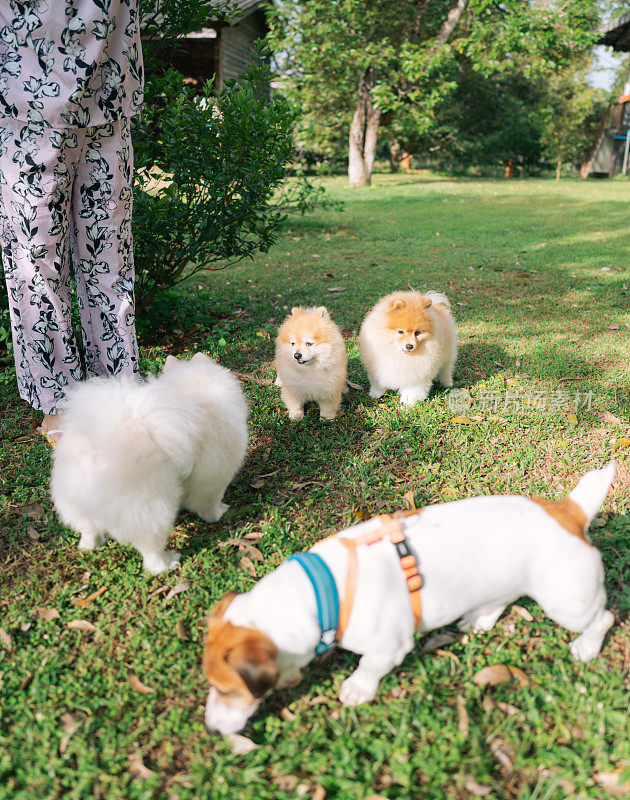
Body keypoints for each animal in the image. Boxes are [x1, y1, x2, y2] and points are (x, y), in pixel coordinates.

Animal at [50, 354, 248, 572]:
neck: (191, 388)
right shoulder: (213, 478)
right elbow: (209, 504)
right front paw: (218, 513)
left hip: (74, 502)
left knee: (88, 529)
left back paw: (90, 545)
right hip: (151, 508)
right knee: (150, 548)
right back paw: (167, 562)